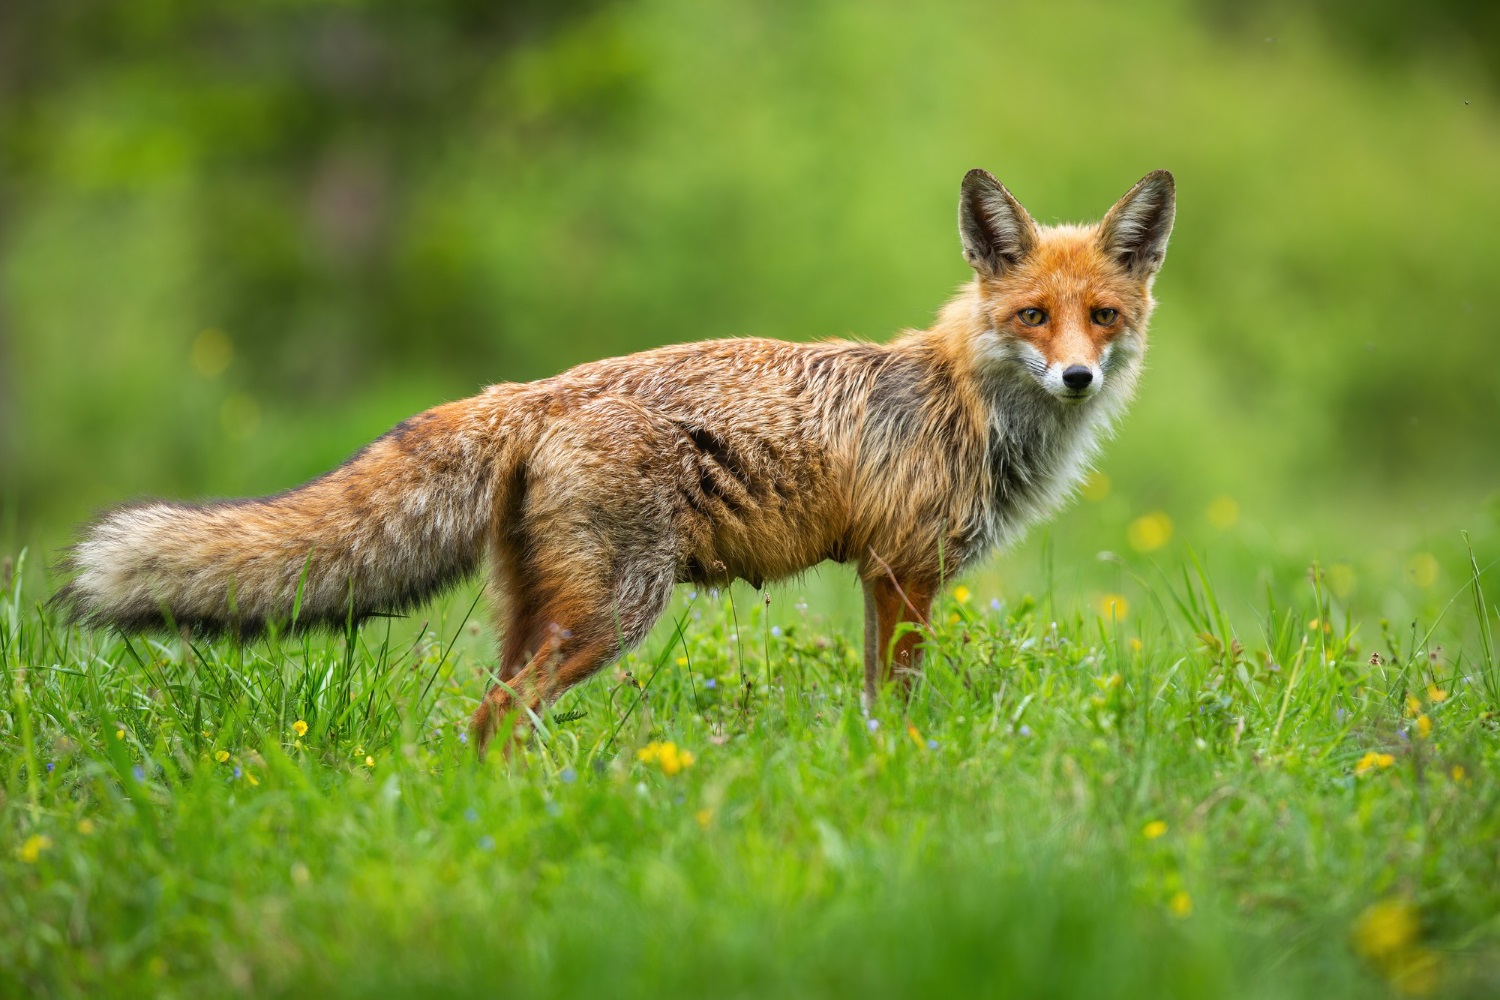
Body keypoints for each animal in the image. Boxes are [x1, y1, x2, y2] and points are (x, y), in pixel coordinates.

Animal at [55, 168, 1175, 757]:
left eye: (1102, 317)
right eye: (1032, 317)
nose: (1077, 377)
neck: (967, 404)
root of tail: (530, 390)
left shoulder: (882, 576)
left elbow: (869, 704)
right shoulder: (902, 572)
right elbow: (896, 706)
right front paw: (899, 776)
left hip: (539, 608)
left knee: (485, 719)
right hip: (617, 609)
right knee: (496, 717)